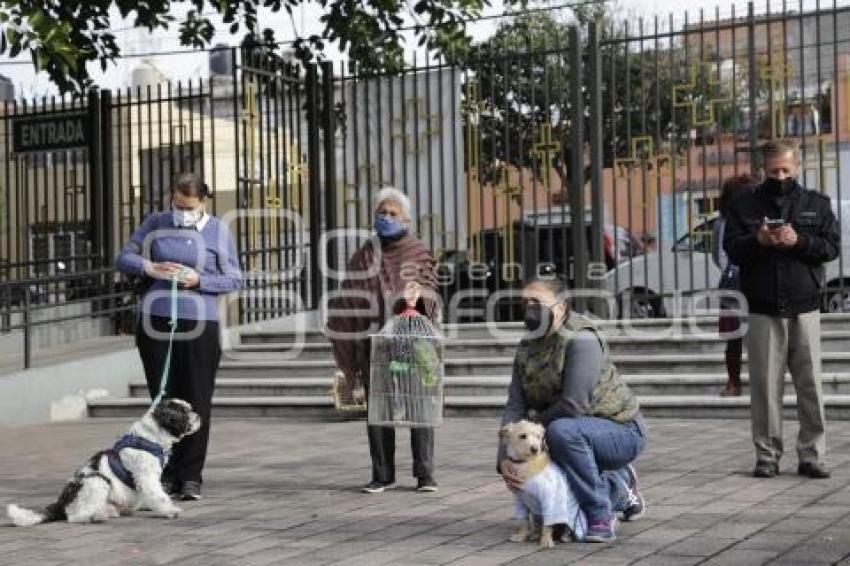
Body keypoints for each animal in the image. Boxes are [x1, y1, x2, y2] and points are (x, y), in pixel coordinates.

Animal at [6, 400, 200, 528]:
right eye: (184, 412)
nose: (198, 415)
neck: (150, 438)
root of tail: (62, 502)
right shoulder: (147, 476)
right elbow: (158, 495)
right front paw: (170, 510)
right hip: (97, 481)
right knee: (74, 516)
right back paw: (96, 516)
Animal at [500, 422, 588, 552]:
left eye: (538, 437)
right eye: (522, 436)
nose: (535, 449)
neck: (525, 463)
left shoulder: (550, 501)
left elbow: (547, 525)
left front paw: (546, 541)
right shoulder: (520, 500)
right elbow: (523, 521)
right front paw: (521, 535)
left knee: (565, 528)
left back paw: (565, 537)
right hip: (537, 514)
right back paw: (535, 534)